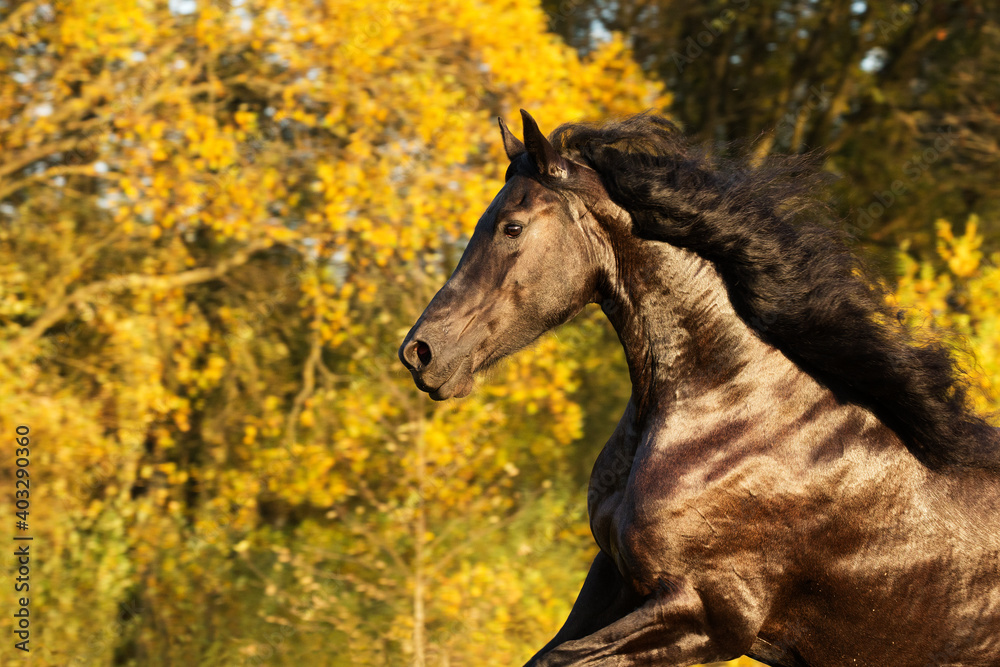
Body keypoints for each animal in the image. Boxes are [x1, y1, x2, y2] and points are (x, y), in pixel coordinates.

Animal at [398, 111, 1000, 667]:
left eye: (512, 227)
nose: (420, 352)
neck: (731, 412)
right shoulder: (615, 581)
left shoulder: (709, 615)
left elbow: (558, 659)